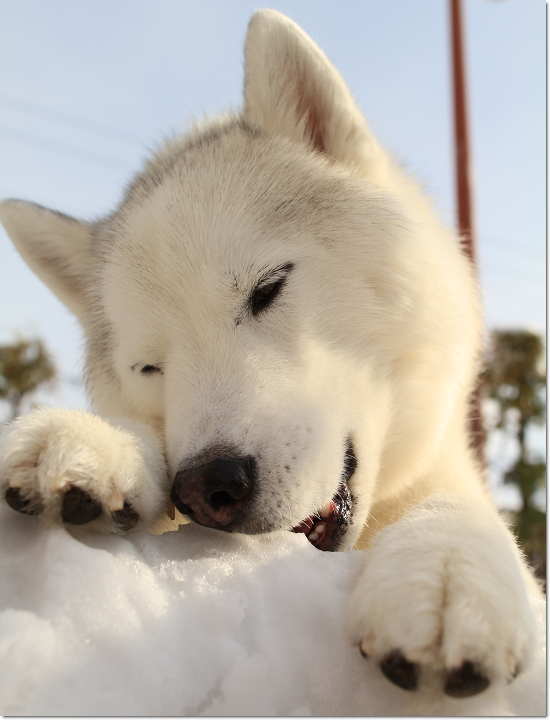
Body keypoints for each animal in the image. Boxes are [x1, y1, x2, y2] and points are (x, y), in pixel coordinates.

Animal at [0, 8, 544, 700]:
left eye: (268, 288)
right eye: (150, 367)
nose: (205, 488)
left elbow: (455, 507)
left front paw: (447, 566)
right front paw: (98, 442)